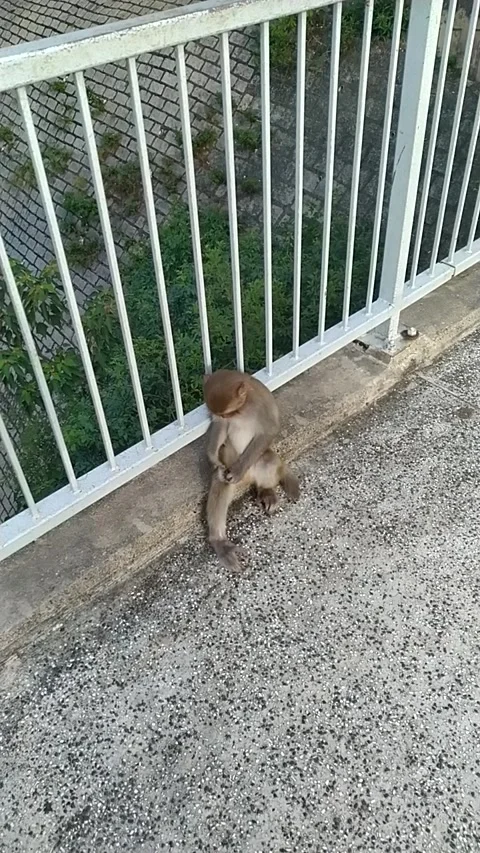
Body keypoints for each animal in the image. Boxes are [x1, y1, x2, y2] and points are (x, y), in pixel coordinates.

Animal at [204, 369, 299, 571]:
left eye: (230, 412)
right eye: (221, 414)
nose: (222, 417)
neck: (245, 406)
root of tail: (248, 478)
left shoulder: (262, 404)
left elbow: (268, 431)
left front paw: (238, 470)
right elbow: (219, 428)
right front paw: (212, 457)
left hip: (257, 461)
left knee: (268, 460)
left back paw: (266, 491)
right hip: (229, 465)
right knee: (220, 481)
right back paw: (220, 542)